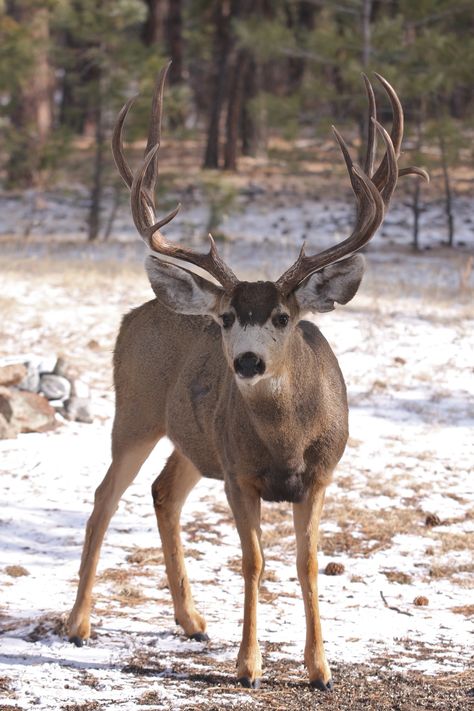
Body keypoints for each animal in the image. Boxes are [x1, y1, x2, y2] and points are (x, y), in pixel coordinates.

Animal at [67, 65, 430, 688]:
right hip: (134, 412)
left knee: (163, 491)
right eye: (227, 318)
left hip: (194, 439)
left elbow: (308, 562)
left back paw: (192, 621)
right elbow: (254, 560)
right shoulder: (239, 474)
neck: (286, 442)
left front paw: (320, 668)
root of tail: (134, 314)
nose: (247, 361)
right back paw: (78, 624)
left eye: (283, 317)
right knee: (104, 498)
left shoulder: (321, 474)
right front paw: (248, 665)